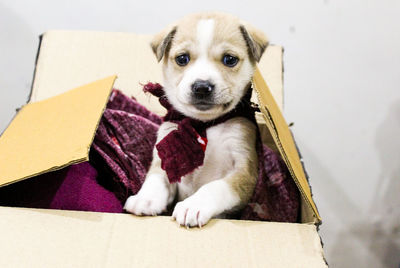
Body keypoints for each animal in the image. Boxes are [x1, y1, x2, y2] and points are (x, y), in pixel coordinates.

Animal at [124, 11, 268, 227]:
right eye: (182, 59)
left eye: (229, 60)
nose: (201, 87)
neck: (204, 124)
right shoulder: (166, 158)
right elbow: (156, 177)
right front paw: (146, 198)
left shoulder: (244, 171)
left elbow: (216, 186)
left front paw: (193, 205)